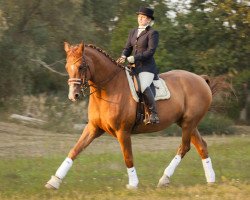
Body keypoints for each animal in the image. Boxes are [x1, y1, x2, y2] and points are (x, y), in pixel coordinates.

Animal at [45, 41, 230, 189]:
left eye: (81, 67)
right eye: (66, 67)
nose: (73, 95)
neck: (108, 88)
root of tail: (200, 79)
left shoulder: (123, 131)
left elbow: (128, 157)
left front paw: (133, 184)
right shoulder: (93, 128)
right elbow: (74, 150)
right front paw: (54, 181)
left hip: (188, 123)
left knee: (184, 147)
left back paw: (164, 179)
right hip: (187, 123)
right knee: (201, 146)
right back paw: (210, 180)